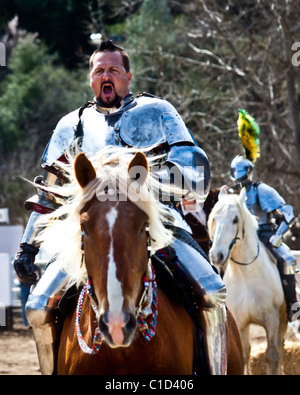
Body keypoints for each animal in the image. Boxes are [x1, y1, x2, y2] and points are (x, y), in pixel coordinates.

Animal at [207, 188, 288, 374]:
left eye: (235, 219)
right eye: (214, 218)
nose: (216, 256)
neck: (246, 275)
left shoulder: (272, 320)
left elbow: (271, 355)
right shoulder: (240, 323)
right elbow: (244, 355)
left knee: (279, 351)